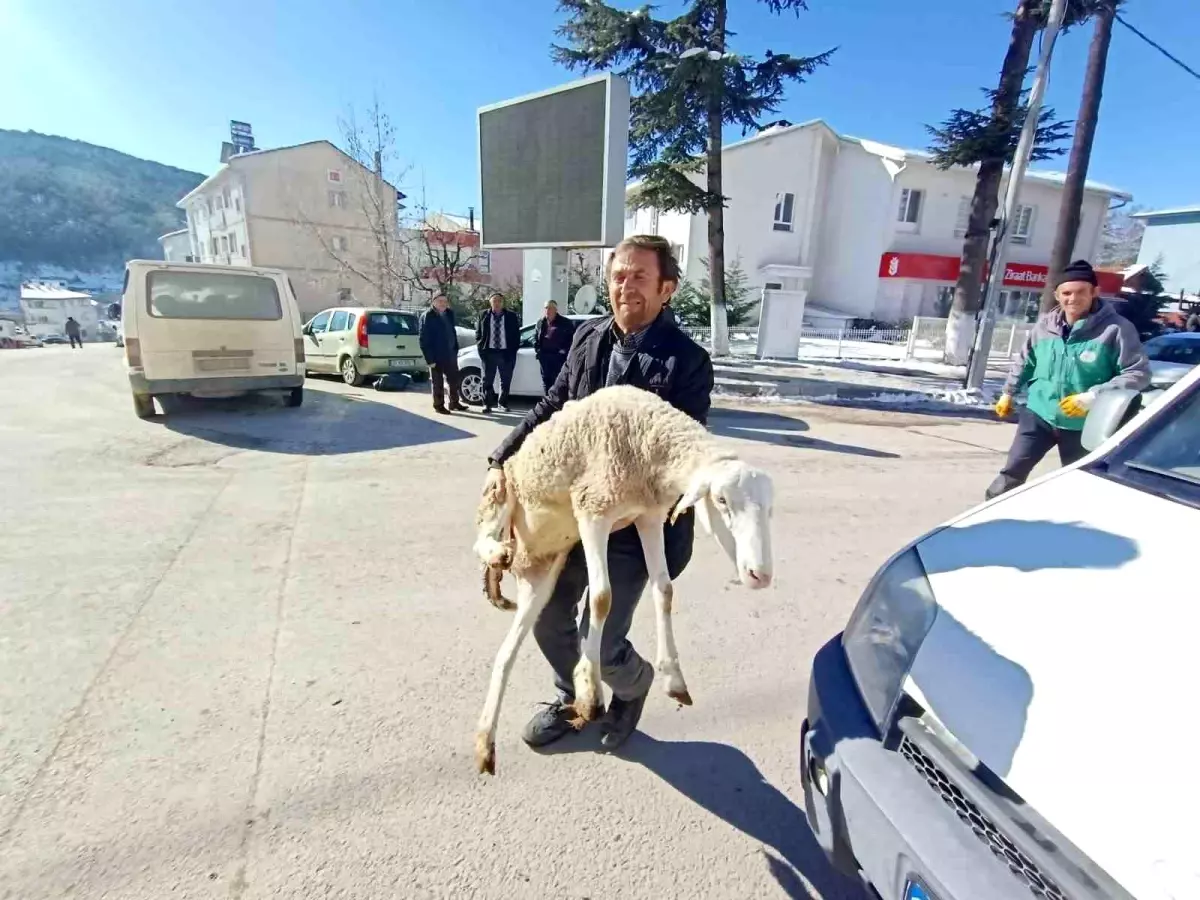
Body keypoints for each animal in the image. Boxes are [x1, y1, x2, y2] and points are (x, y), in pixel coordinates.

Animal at [472, 386, 772, 777]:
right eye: (721, 500)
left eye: (770, 508)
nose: (760, 575)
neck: (651, 441)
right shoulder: (592, 509)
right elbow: (602, 597)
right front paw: (589, 692)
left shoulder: (649, 516)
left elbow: (664, 589)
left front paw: (673, 678)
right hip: (504, 497)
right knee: (482, 536)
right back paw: (496, 552)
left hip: (543, 568)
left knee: (508, 652)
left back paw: (485, 743)